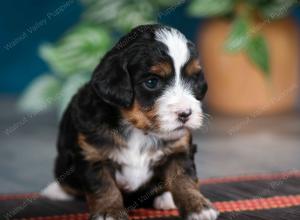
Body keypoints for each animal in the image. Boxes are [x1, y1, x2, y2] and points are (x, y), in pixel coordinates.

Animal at [41, 24, 218, 220]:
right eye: (151, 82)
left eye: (193, 79)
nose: (185, 114)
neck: (138, 129)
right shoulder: (92, 154)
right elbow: (104, 188)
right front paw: (109, 212)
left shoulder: (179, 150)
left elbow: (185, 180)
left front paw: (198, 207)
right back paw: (55, 190)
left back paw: (166, 198)